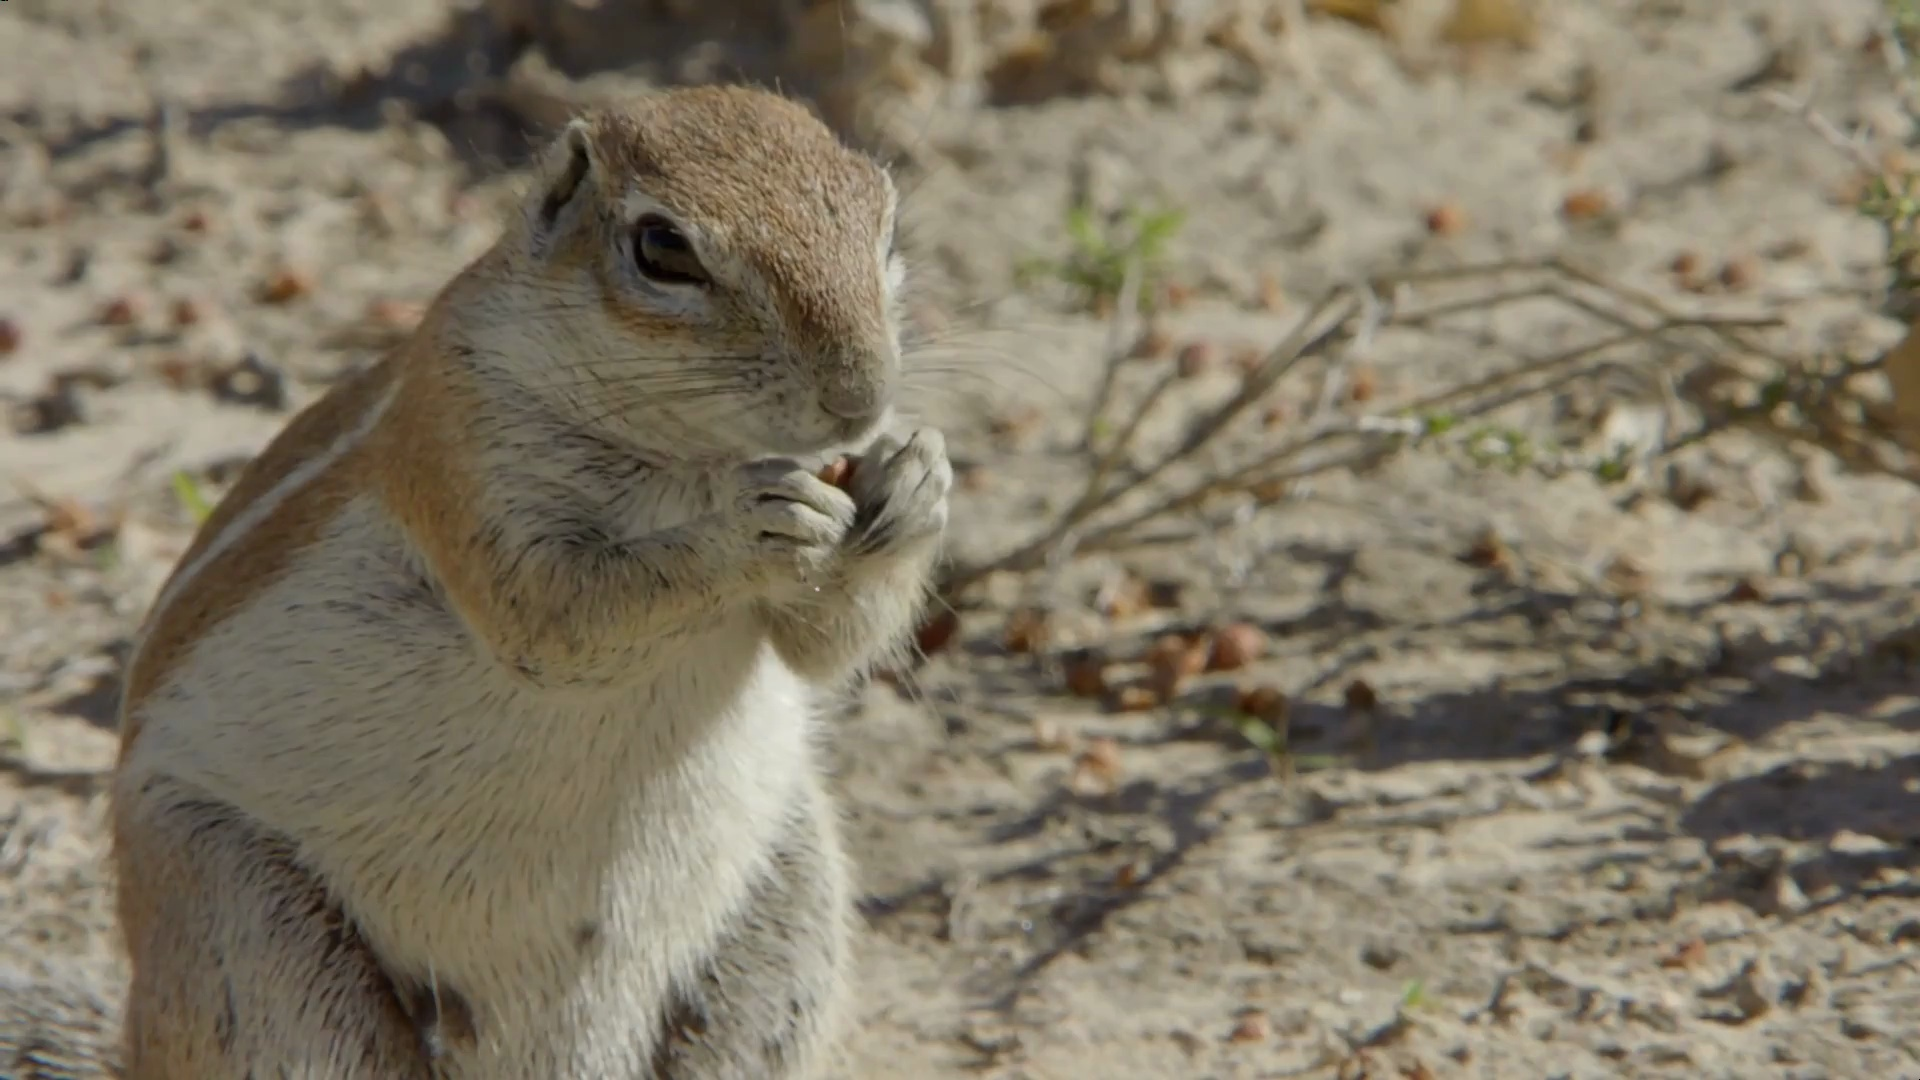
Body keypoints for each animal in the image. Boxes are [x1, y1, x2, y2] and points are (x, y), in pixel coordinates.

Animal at [9, 84, 952, 1076]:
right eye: (662, 249)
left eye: (887, 223)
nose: (861, 398)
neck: (684, 457)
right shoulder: (459, 446)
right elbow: (551, 616)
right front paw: (746, 524)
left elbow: (821, 649)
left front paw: (917, 481)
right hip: (244, 932)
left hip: (790, 908)